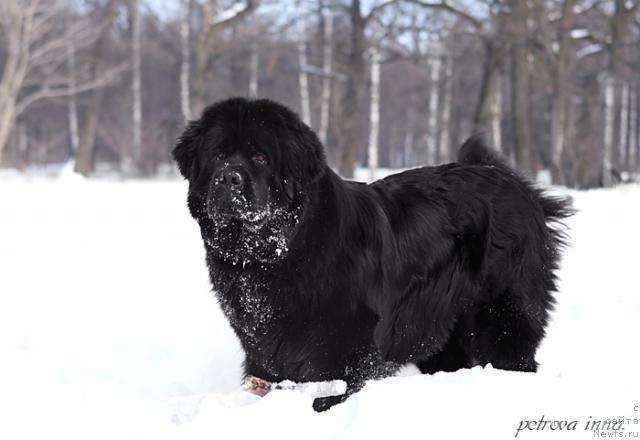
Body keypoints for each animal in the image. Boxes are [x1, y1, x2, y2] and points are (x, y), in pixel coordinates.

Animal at [172, 98, 572, 410]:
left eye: (259, 157)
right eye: (218, 155)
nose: (229, 178)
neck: (280, 253)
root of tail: (519, 187)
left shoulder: (347, 350)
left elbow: (331, 391)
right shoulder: (260, 345)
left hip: (503, 314)